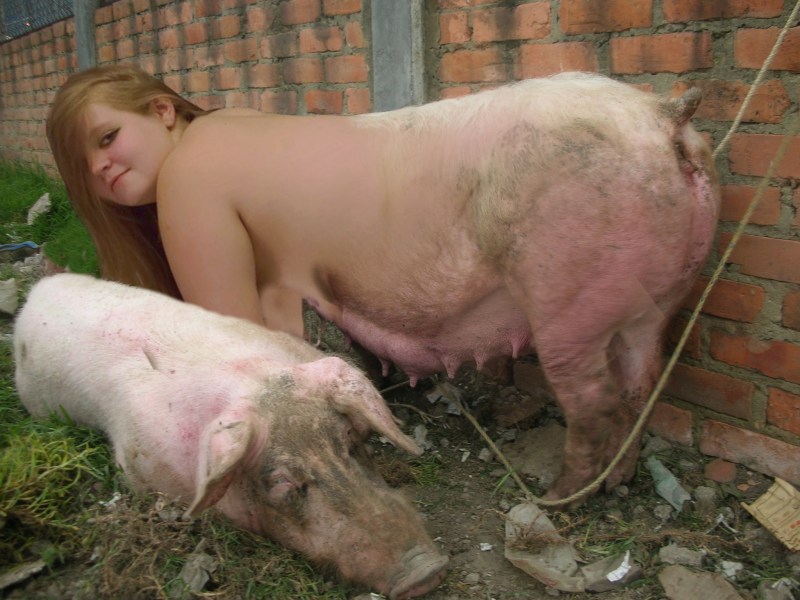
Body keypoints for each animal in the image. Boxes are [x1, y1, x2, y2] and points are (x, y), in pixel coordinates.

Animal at [284, 72, 721, 502]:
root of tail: (661, 113)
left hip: (563, 297)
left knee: (594, 401)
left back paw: (557, 497)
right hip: (658, 303)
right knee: (641, 388)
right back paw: (616, 482)